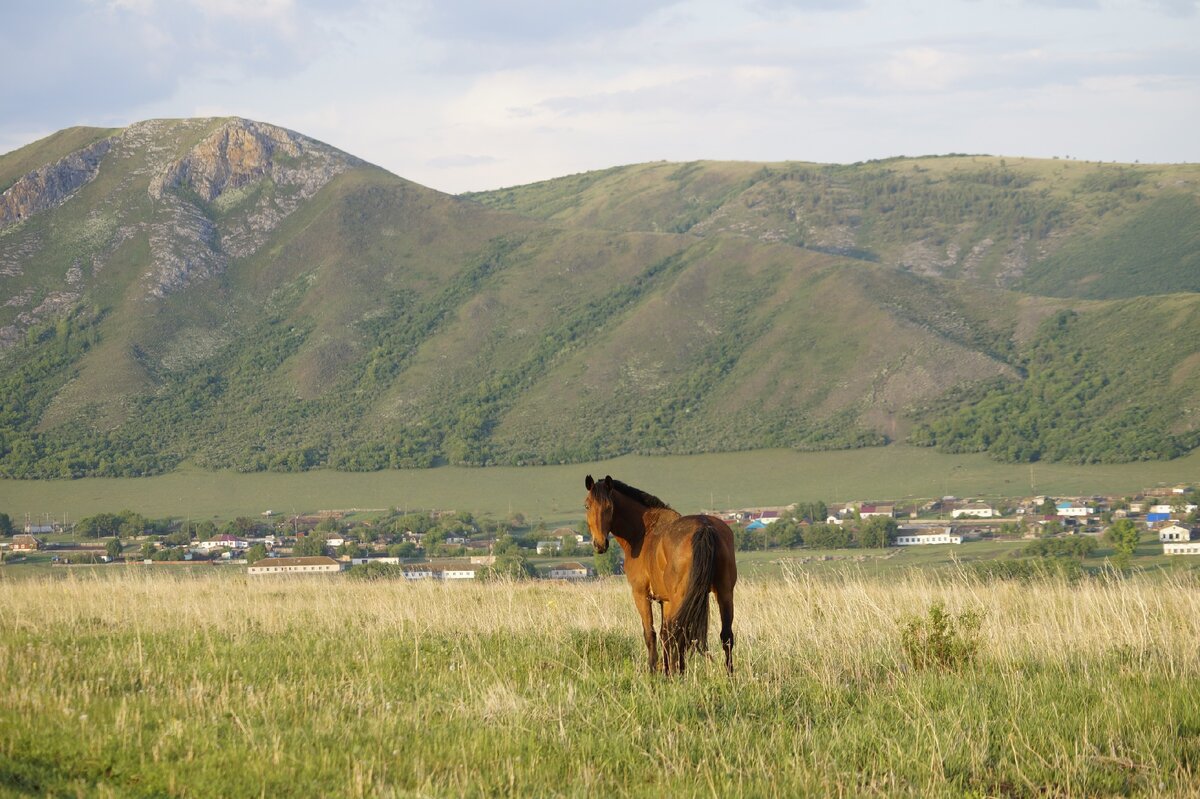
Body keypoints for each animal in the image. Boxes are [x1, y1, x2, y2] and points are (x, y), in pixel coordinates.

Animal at [585, 472, 734, 671]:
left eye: (609, 507)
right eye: (587, 506)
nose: (600, 544)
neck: (644, 532)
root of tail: (705, 527)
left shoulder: (641, 595)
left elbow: (651, 634)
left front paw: (654, 670)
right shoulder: (665, 601)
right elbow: (664, 635)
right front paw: (665, 670)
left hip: (682, 598)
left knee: (679, 635)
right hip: (724, 594)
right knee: (726, 636)